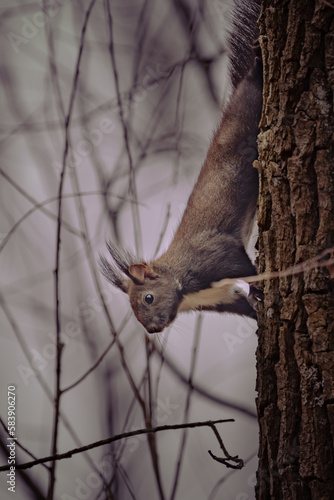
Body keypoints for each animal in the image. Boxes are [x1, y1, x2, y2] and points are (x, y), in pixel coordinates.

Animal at [100, 1, 262, 336]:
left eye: (148, 298)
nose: (152, 330)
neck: (184, 285)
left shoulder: (217, 256)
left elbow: (246, 269)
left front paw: (261, 290)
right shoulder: (221, 298)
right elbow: (242, 304)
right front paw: (257, 312)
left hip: (251, 107)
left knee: (256, 82)